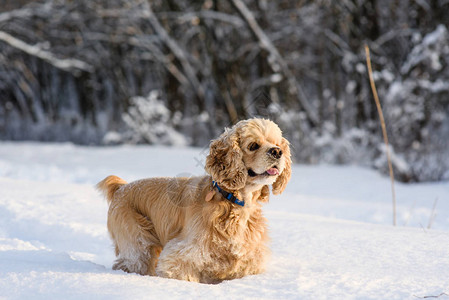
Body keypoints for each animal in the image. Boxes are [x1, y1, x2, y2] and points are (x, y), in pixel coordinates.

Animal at [96, 118, 292, 284]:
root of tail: (121, 188)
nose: (277, 152)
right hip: (138, 243)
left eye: (277, 144)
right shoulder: (180, 255)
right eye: (253, 145)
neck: (235, 202)